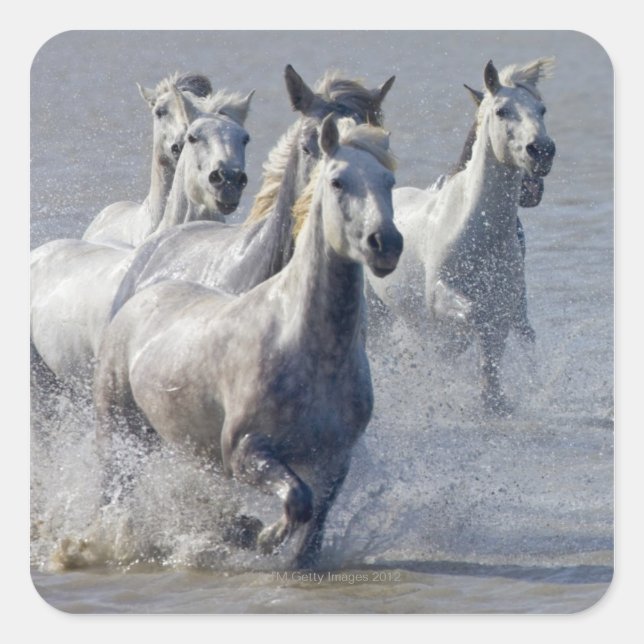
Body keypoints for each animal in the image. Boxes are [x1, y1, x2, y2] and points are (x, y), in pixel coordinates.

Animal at [93, 116, 403, 569]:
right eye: (338, 182)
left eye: (389, 181)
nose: (386, 244)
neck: (311, 351)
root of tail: (140, 293)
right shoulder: (244, 451)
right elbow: (298, 499)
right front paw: (261, 536)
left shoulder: (335, 459)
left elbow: (315, 518)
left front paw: (268, 542)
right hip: (119, 429)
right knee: (112, 490)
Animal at [367, 58, 556, 414]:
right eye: (502, 111)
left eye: (542, 109)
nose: (542, 151)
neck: (476, 230)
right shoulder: (440, 295)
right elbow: (474, 318)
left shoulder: (508, 301)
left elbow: (499, 340)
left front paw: (494, 398)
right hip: (376, 312)